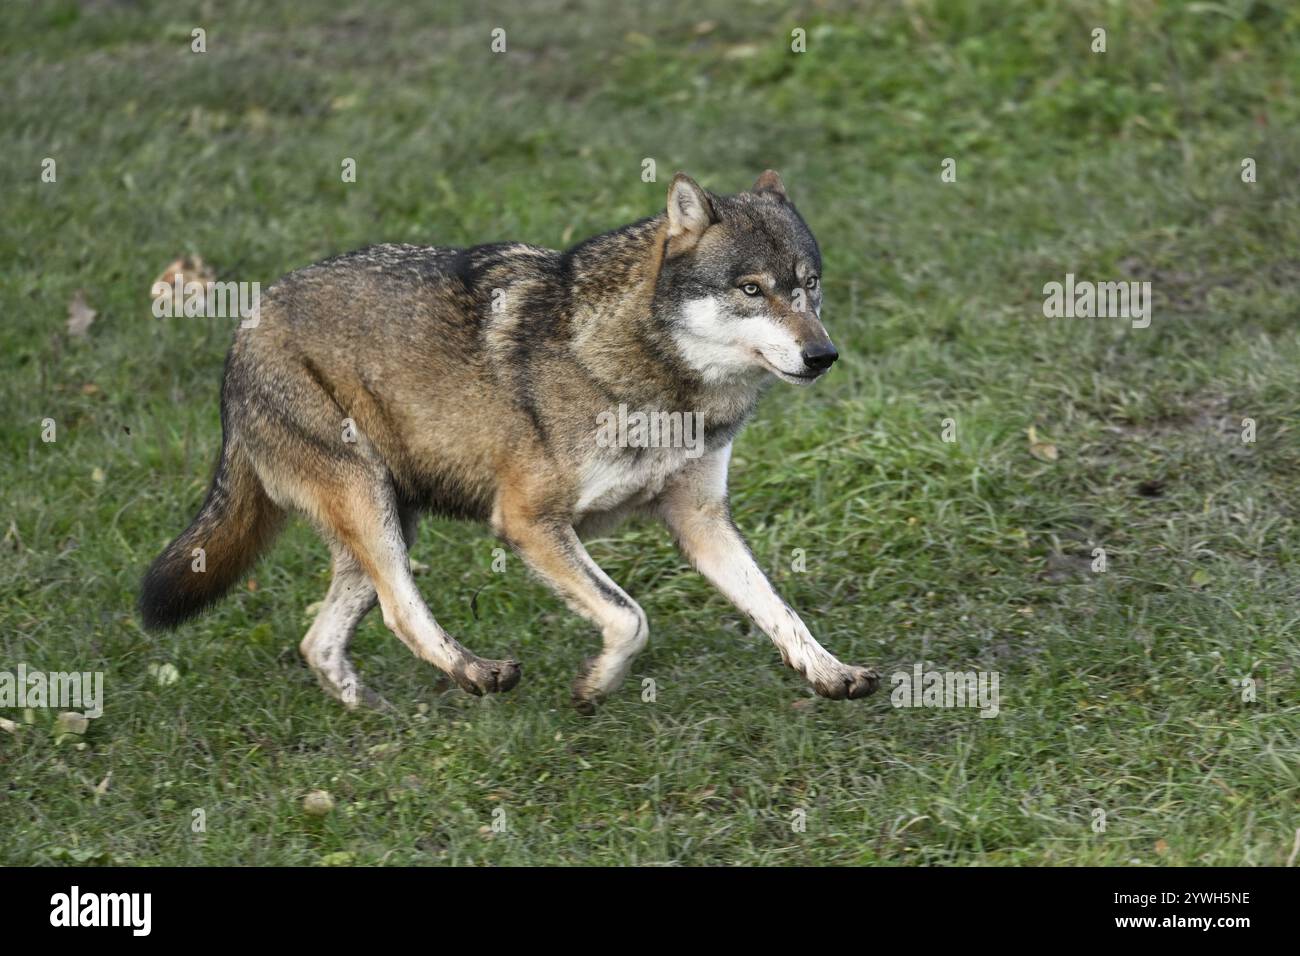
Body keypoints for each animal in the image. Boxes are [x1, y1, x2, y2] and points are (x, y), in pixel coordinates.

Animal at [139, 171, 880, 712]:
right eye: (752, 290)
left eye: (809, 286)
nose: (823, 355)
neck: (663, 382)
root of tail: (245, 325)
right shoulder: (527, 520)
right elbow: (630, 617)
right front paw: (595, 685)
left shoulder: (700, 519)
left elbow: (779, 610)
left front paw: (830, 672)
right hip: (371, 505)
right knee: (400, 613)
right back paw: (476, 674)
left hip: (391, 517)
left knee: (318, 641)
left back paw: (380, 715)